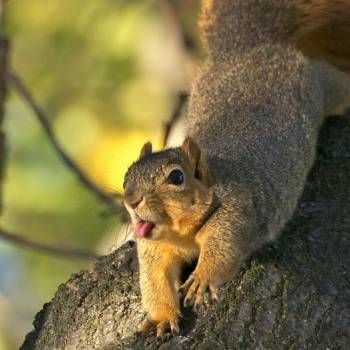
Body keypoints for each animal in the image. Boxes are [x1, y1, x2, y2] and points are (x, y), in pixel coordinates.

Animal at [122, 0, 350, 340]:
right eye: (126, 178)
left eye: (176, 177)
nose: (132, 200)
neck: (181, 234)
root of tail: (246, 48)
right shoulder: (155, 250)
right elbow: (154, 282)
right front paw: (162, 316)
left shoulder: (238, 209)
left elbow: (224, 249)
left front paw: (202, 278)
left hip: (318, 84)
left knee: (338, 82)